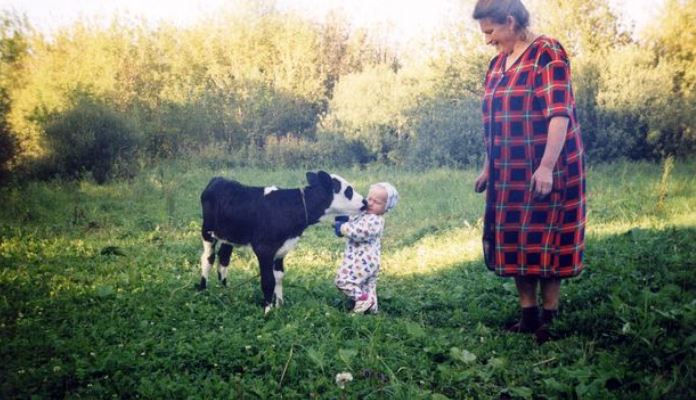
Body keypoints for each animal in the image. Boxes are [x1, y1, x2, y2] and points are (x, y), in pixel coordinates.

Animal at [198, 170, 368, 314]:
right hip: (207, 231)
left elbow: (279, 277)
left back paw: (225, 289)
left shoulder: (282, 250)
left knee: (223, 259)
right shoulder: (264, 249)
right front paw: (267, 311)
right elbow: (268, 280)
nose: (365, 202)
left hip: (229, 237)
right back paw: (202, 290)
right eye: (348, 191)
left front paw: (279, 305)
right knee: (208, 258)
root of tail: (218, 179)